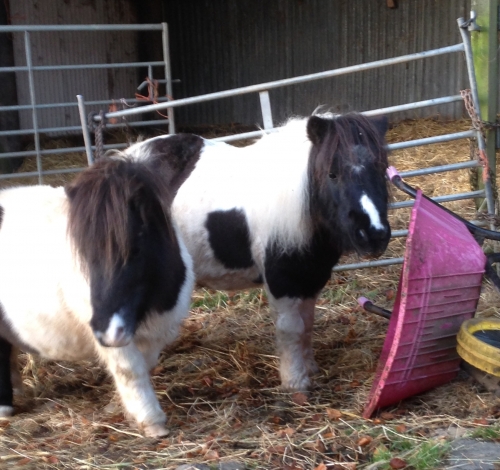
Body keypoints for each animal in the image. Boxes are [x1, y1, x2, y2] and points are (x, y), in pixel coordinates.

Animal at [0, 149, 201, 436]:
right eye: (82, 253)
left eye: (138, 245)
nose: (105, 331)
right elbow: (130, 371)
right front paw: (151, 422)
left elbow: (145, 364)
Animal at [127, 113, 392, 392]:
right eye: (332, 174)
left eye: (381, 169)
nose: (373, 233)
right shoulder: (282, 281)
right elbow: (291, 329)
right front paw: (295, 382)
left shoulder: (310, 277)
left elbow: (307, 324)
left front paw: (310, 368)